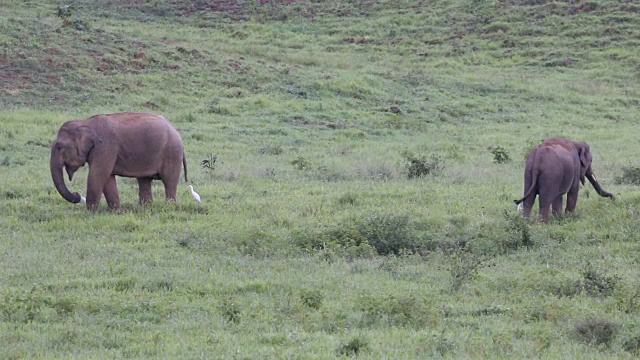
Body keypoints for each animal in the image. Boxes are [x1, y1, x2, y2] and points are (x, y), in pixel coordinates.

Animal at [51, 111, 186, 210]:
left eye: (59, 147)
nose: (77, 195)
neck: (85, 122)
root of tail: (175, 129)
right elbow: (107, 178)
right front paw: (116, 211)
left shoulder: (106, 147)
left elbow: (98, 175)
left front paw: (91, 212)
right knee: (144, 180)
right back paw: (145, 208)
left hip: (172, 152)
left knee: (169, 181)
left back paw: (169, 206)